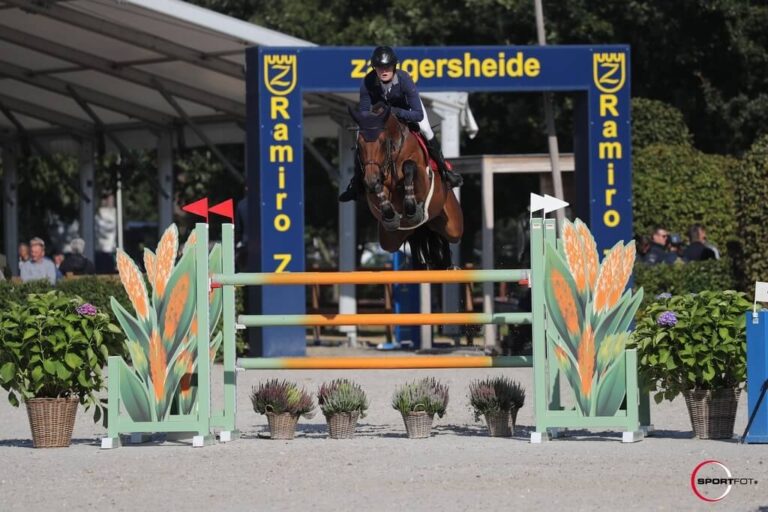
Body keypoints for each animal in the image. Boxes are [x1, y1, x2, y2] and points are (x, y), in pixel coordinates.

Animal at [346, 105, 462, 272]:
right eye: (359, 145)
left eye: (382, 142)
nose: (370, 180)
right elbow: (380, 191)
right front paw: (391, 214)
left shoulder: (422, 180)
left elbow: (409, 166)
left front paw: (410, 205)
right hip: (390, 240)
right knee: (416, 239)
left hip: (453, 225)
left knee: (445, 236)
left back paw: (449, 266)